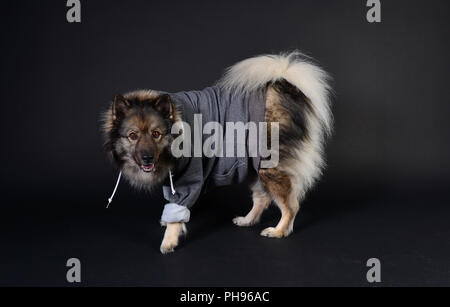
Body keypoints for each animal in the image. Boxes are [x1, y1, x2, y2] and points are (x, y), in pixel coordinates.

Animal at [103, 51, 334, 254]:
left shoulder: (187, 179)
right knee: (262, 198)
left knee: (291, 206)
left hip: (270, 167)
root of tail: (285, 87)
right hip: (255, 166)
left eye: (156, 134)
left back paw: (279, 231)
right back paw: (247, 220)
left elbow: (177, 211)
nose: (147, 158)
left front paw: (168, 241)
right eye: (133, 136)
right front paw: (167, 222)